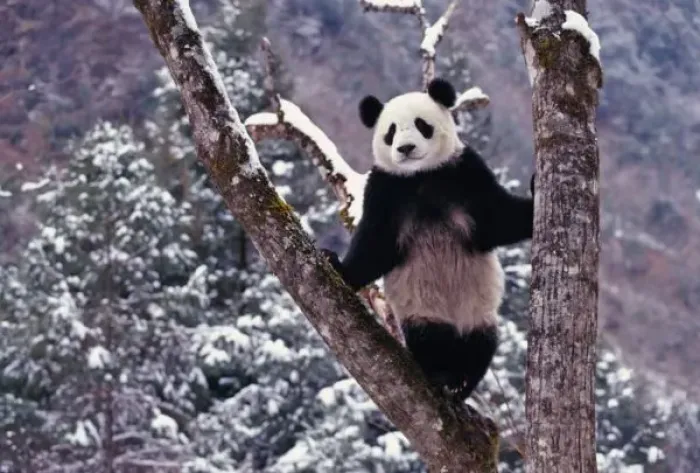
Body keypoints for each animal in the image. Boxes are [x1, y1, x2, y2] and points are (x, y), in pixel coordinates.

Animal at [322, 78, 534, 401]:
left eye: (422, 125)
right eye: (391, 131)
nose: (406, 148)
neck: (420, 176)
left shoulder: (464, 172)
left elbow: (498, 219)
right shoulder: (386, 189)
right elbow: (375, 245)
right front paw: (338, 265)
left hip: (477, 309)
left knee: (481, 343)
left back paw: (462, 380)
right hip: (422, 305)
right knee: (429, 338)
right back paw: (443, 373)